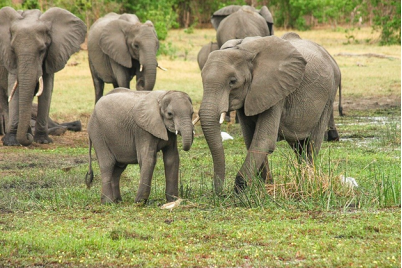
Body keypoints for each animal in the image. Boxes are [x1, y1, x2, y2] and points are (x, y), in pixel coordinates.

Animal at [0, 7, 87, 147]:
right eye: (13, 50)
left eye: (42, 50)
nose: (28, 138)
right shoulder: (9, 58)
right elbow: (14, 89)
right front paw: (11, 142)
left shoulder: (52, 54)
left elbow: (46, 90)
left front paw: (43, 141)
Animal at [199, 33, 340, 194]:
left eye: (232, 81)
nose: (220, 192)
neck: (243, 50)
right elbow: (250, 139)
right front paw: (265, 186)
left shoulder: (276, 90)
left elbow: (264, 140)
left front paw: (241, 189)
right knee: (298, 145)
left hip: (330, 94)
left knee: (312, 143)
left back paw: (308, 181)